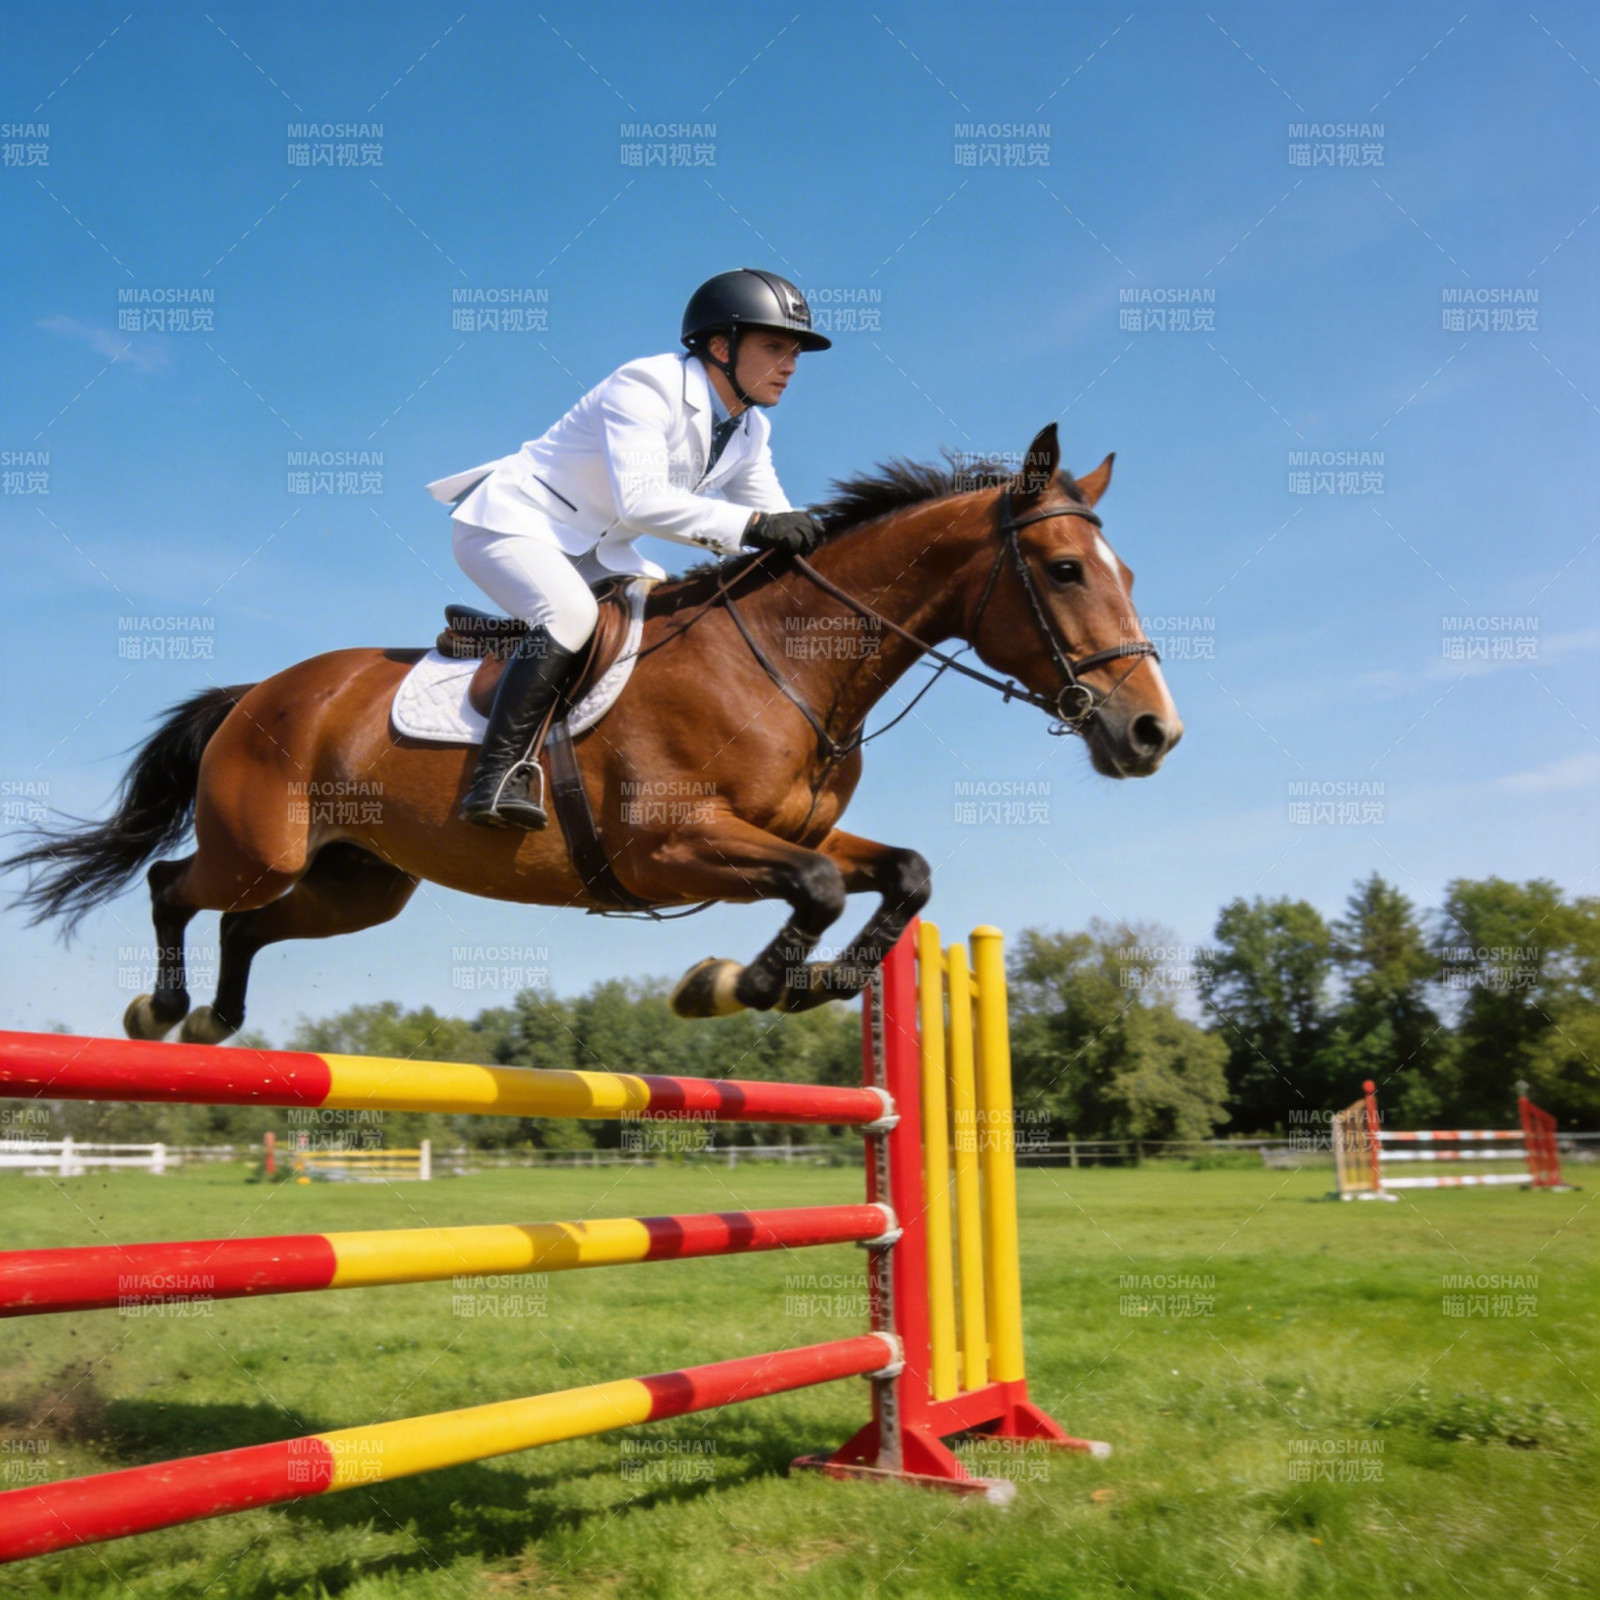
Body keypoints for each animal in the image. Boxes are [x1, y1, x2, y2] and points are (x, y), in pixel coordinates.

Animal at [4, 424, 1180, 1042]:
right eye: (1064, 570)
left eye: (1125, 570)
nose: (1150, 734)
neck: (788, 665)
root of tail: (260, 692)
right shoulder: (671, 845)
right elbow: (817, 889)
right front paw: (734, 984)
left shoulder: (790, 829)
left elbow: (903, 872)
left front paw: (815, 983)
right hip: (264, 844)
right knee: (176, 885)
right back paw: (161, 1010)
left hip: (357, 884)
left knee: (250, 925)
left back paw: (214, 1019)